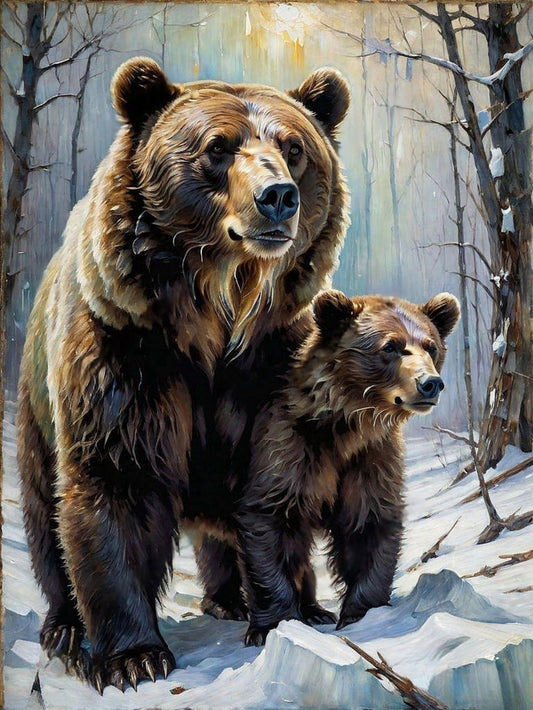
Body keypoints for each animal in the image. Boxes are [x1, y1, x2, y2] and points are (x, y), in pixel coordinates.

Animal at [16, 57, 350, 693]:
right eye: (218, 147)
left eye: (294, 147)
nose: (278, 197)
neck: (218, 313)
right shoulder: (126, 351)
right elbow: (114, 482)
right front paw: (134, 656)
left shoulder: (272, 365)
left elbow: (276, 481)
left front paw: (294, 611)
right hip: (35, 404)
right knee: (43, 512)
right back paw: (64, 627)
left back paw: (233, 597)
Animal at [236, 289, 460, 644]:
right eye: (390, 346)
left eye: (431, 346)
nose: (430, 384)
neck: (348, 425)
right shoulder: (289, 449)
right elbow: (269, 520)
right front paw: (271, 624)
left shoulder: (370, 459)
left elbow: (368, 523)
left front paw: (361, 612)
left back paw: (315, 610)